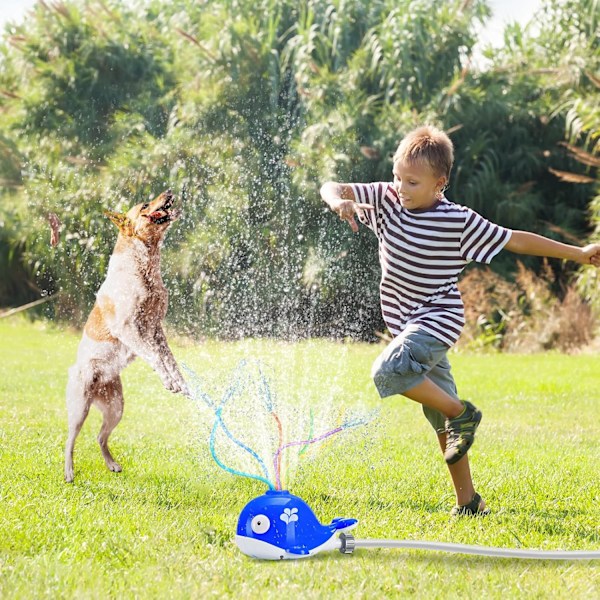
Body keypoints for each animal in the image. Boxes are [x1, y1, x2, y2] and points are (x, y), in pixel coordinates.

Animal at [64, 189, 189, 482]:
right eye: (145, 205)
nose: (169, 191)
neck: (145, 265)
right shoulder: (129, 327)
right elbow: (155, 357)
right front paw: (169, 382)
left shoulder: (156, 328)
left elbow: (169, 359)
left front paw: (180, 382)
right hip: (79, 407)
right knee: (69, 441)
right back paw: (69, 472)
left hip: (116, 407)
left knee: (100, 437)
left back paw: (112, 464)